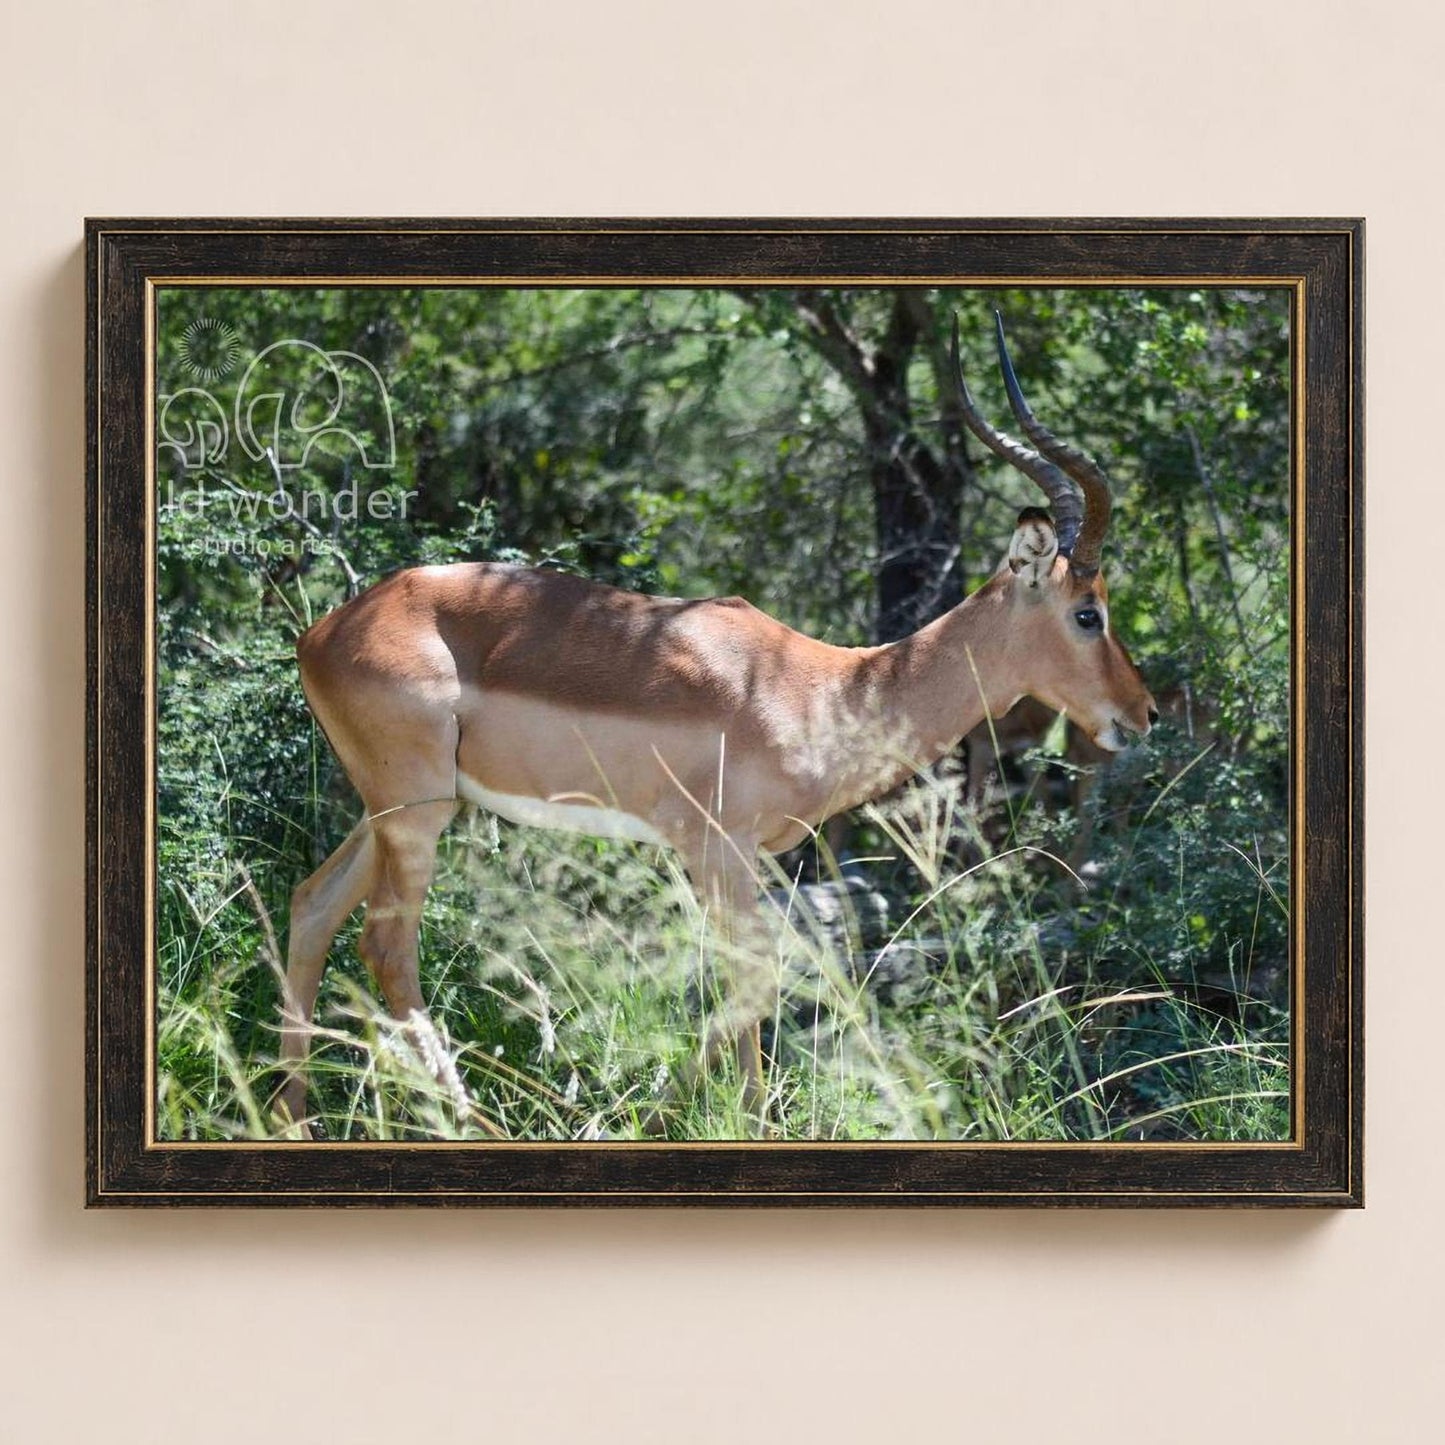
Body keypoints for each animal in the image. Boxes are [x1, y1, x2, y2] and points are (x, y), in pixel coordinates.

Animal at [276, 315, 1157, 1135]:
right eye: (1088, 612)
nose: (1141, 713)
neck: (825, 688)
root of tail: (322, 631)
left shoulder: (750, 858)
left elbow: (751, 976)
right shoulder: (713, 848)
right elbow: (755, 977)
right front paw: (689, 1115)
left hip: (398, 810)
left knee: (312, 905)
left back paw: (294, 1115)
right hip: (416, 813)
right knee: (386, 947)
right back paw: (468, 1120)